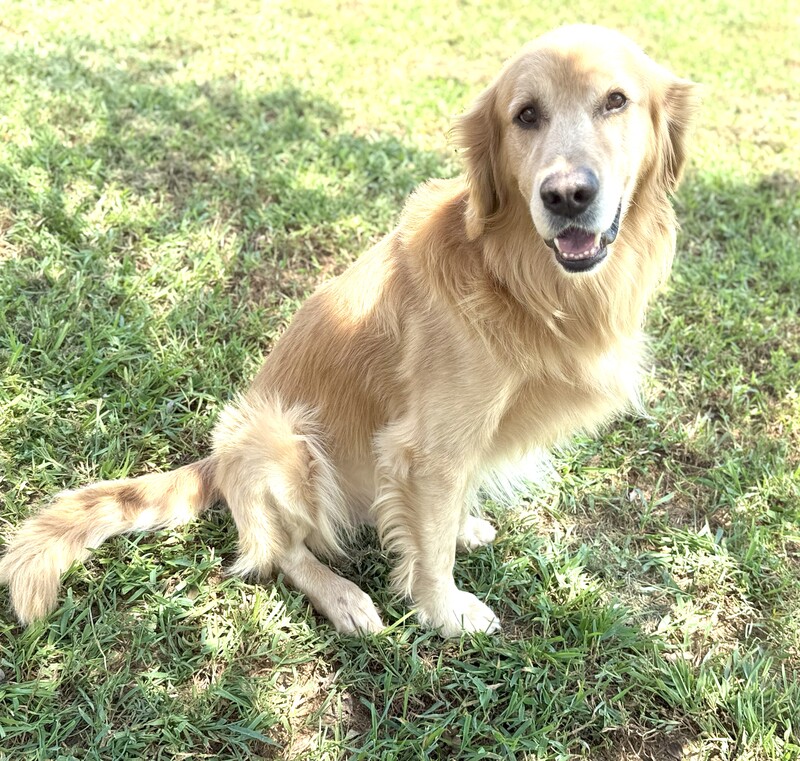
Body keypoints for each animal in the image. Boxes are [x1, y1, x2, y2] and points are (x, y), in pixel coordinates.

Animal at [0, 25, 696, 636]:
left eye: (615, 101)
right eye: (526, 115)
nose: (567, 195)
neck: (518, 277)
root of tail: (216, 461)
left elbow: (441, 516)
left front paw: (461, 529)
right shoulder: (429, 447)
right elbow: (430, 549)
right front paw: (444, 612)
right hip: (279, 438)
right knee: (279, 554)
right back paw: (344, 599)